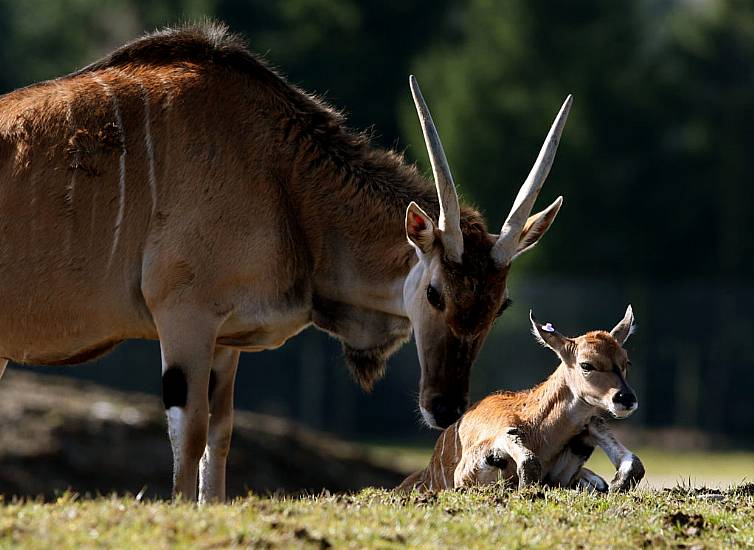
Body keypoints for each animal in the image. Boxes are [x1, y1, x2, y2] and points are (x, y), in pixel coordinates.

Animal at [0, 23, 568, 502]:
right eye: (435, 293)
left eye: (499, 305)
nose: (445, 407)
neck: (277, 170)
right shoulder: (185, 318)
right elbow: (191, 433)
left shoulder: (224, 342)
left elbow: (220, 437)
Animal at [396, 308, 644, 494]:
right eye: (586, 364)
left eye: (627, 362)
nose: (626, 399)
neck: (537, 429)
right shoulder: (466, 471)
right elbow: (523, 456)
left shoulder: (586, 432)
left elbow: (634, 463)